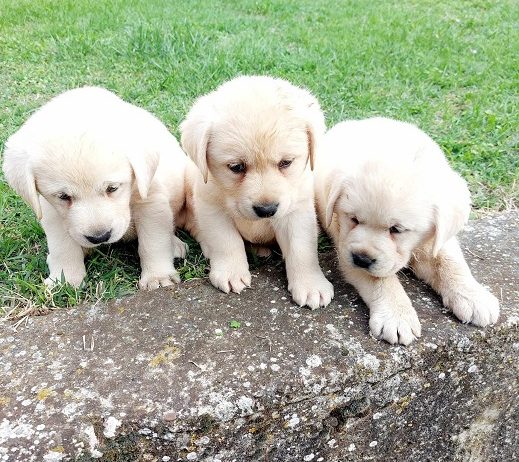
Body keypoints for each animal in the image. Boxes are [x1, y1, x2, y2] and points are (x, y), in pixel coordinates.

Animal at [2, 86, 189, 288]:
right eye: (63, 196)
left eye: (112, 188)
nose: (99, 237)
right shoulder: (52, 212)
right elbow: (63, 246)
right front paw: (65, 279)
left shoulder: (151, 201)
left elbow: (154, 242)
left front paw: (158, 277)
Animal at [180, 76, 334, 308]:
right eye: (236, 167)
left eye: (286, 162)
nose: (267, 209)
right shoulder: (211, 207)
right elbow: (226, 241)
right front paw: (231, 272)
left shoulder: (297, 211)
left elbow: (301, 249)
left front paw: (310, 284)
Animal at [314, 117, 502, 344]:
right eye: (354, 219)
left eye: (397, 229)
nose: (361, 259)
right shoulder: (343, 245)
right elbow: (380, 279)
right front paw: (396, 316)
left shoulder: (438, 238)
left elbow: (450, 262)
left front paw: (473, 296)